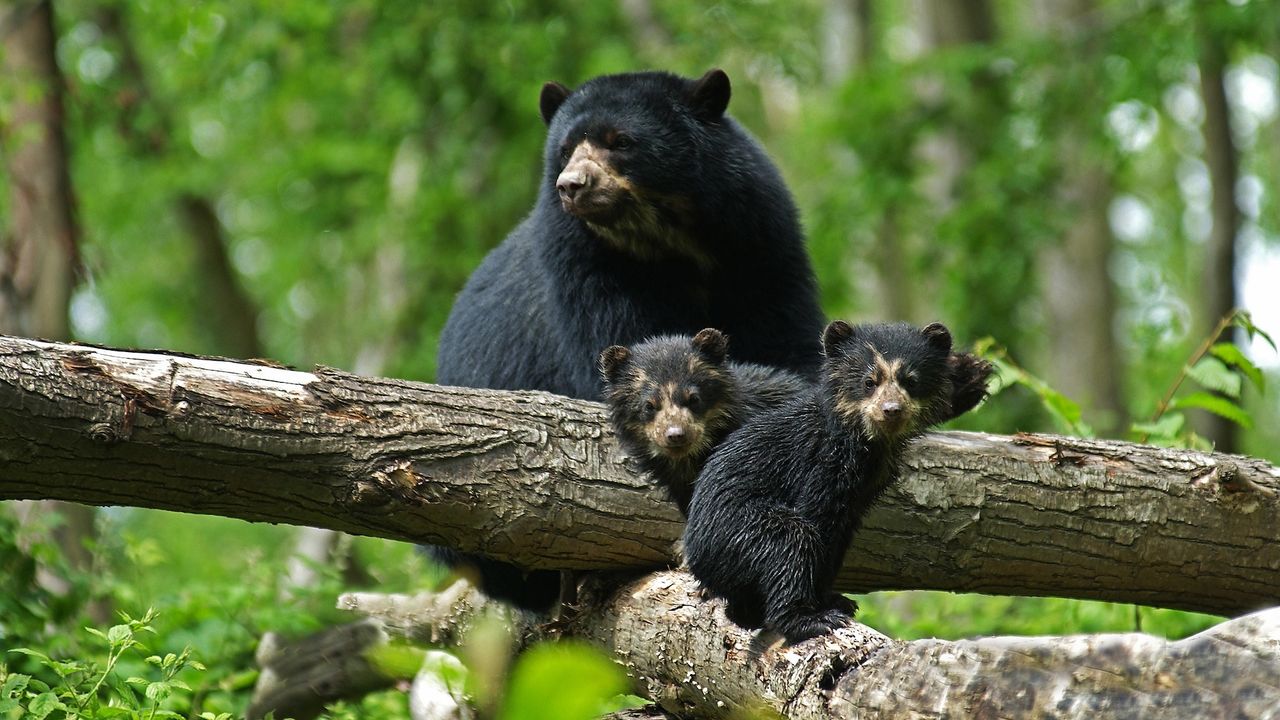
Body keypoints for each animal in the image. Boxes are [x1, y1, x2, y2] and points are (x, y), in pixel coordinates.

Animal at [682, 321, 993, 643]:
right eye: (869, 381)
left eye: (911, 380)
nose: (891, 410)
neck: (867, 441)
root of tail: (697, 558)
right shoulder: (824, 463)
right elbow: (818, 518)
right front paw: (822, 606)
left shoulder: (864, 490)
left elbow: (841, 536)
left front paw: (834, 597)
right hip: (737, 530)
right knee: (791, 540)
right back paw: (807, 620)